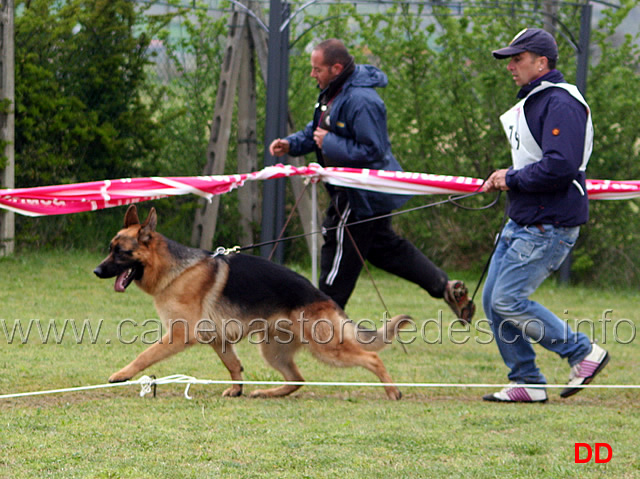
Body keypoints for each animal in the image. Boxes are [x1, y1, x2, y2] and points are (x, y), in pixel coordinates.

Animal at [96, 204, 410, 400]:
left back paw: (392, 391)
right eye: (109, 249)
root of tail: (324, 298)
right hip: (272, 351)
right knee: (297, 379)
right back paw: (266, 393)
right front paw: (237, 390)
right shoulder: (218, 339)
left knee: (372, 357)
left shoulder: (179, 334)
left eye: (120, 252)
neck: (176, 269)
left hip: (326, 348)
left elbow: (145, 355)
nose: (97, 271)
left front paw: (121, 374)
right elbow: (233, 365)